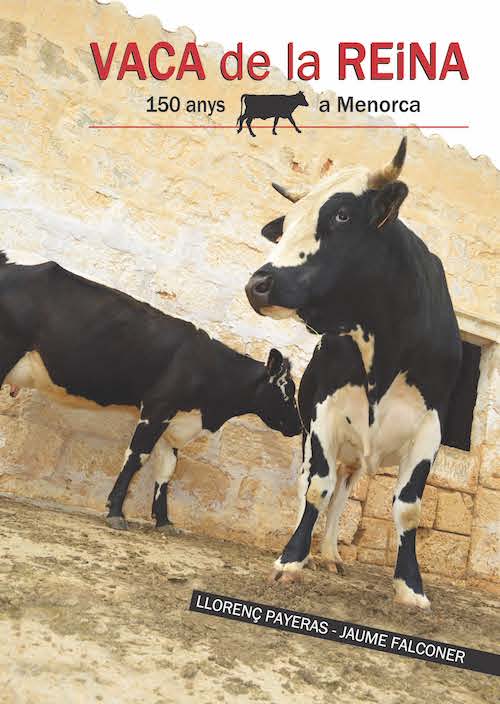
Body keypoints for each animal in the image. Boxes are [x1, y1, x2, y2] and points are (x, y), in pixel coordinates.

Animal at [0, 253, 301, 531]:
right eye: (287, 390)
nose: (299, 426)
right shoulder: (157, 409)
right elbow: (136, 458)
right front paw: (116, 513)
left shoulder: (174, 421)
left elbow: (166, 469)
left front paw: (164, 521)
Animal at [245, 138, 463, 609]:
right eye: (285, 225)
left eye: (342, 215)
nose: (257, 285)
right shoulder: (323, 414)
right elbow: (315, 489)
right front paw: (291, 559)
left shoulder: (431, 425)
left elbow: (408, 508)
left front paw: (410, 587)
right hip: (313, 436)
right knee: (311, 487)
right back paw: (310, 552)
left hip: (356, 460)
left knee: (342, 498)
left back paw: (329, 555)